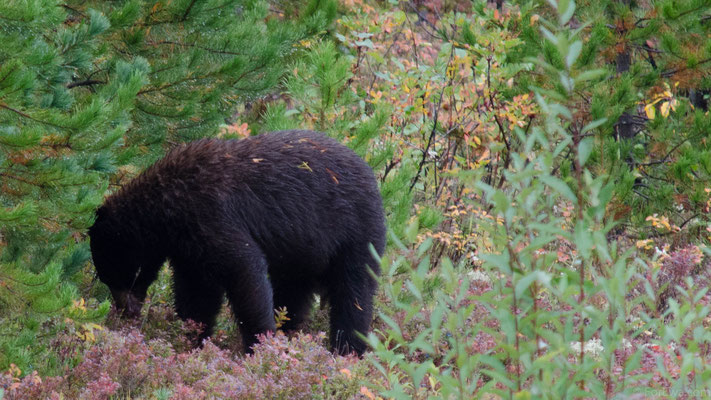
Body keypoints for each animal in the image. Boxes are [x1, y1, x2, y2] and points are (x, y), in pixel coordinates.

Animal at [90, 130, 390, 354]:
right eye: (106, 277)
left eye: (117, 274)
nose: (124, 311)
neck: (168, 209)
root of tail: (371, 173)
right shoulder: (190, 249)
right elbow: (197, 293)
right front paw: (192, 338)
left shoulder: (212, 215)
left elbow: (245, 273)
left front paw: (259, 344)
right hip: (301, 254)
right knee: (292, 294)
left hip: (353, 232)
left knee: (353, 293)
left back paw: (347, 350)